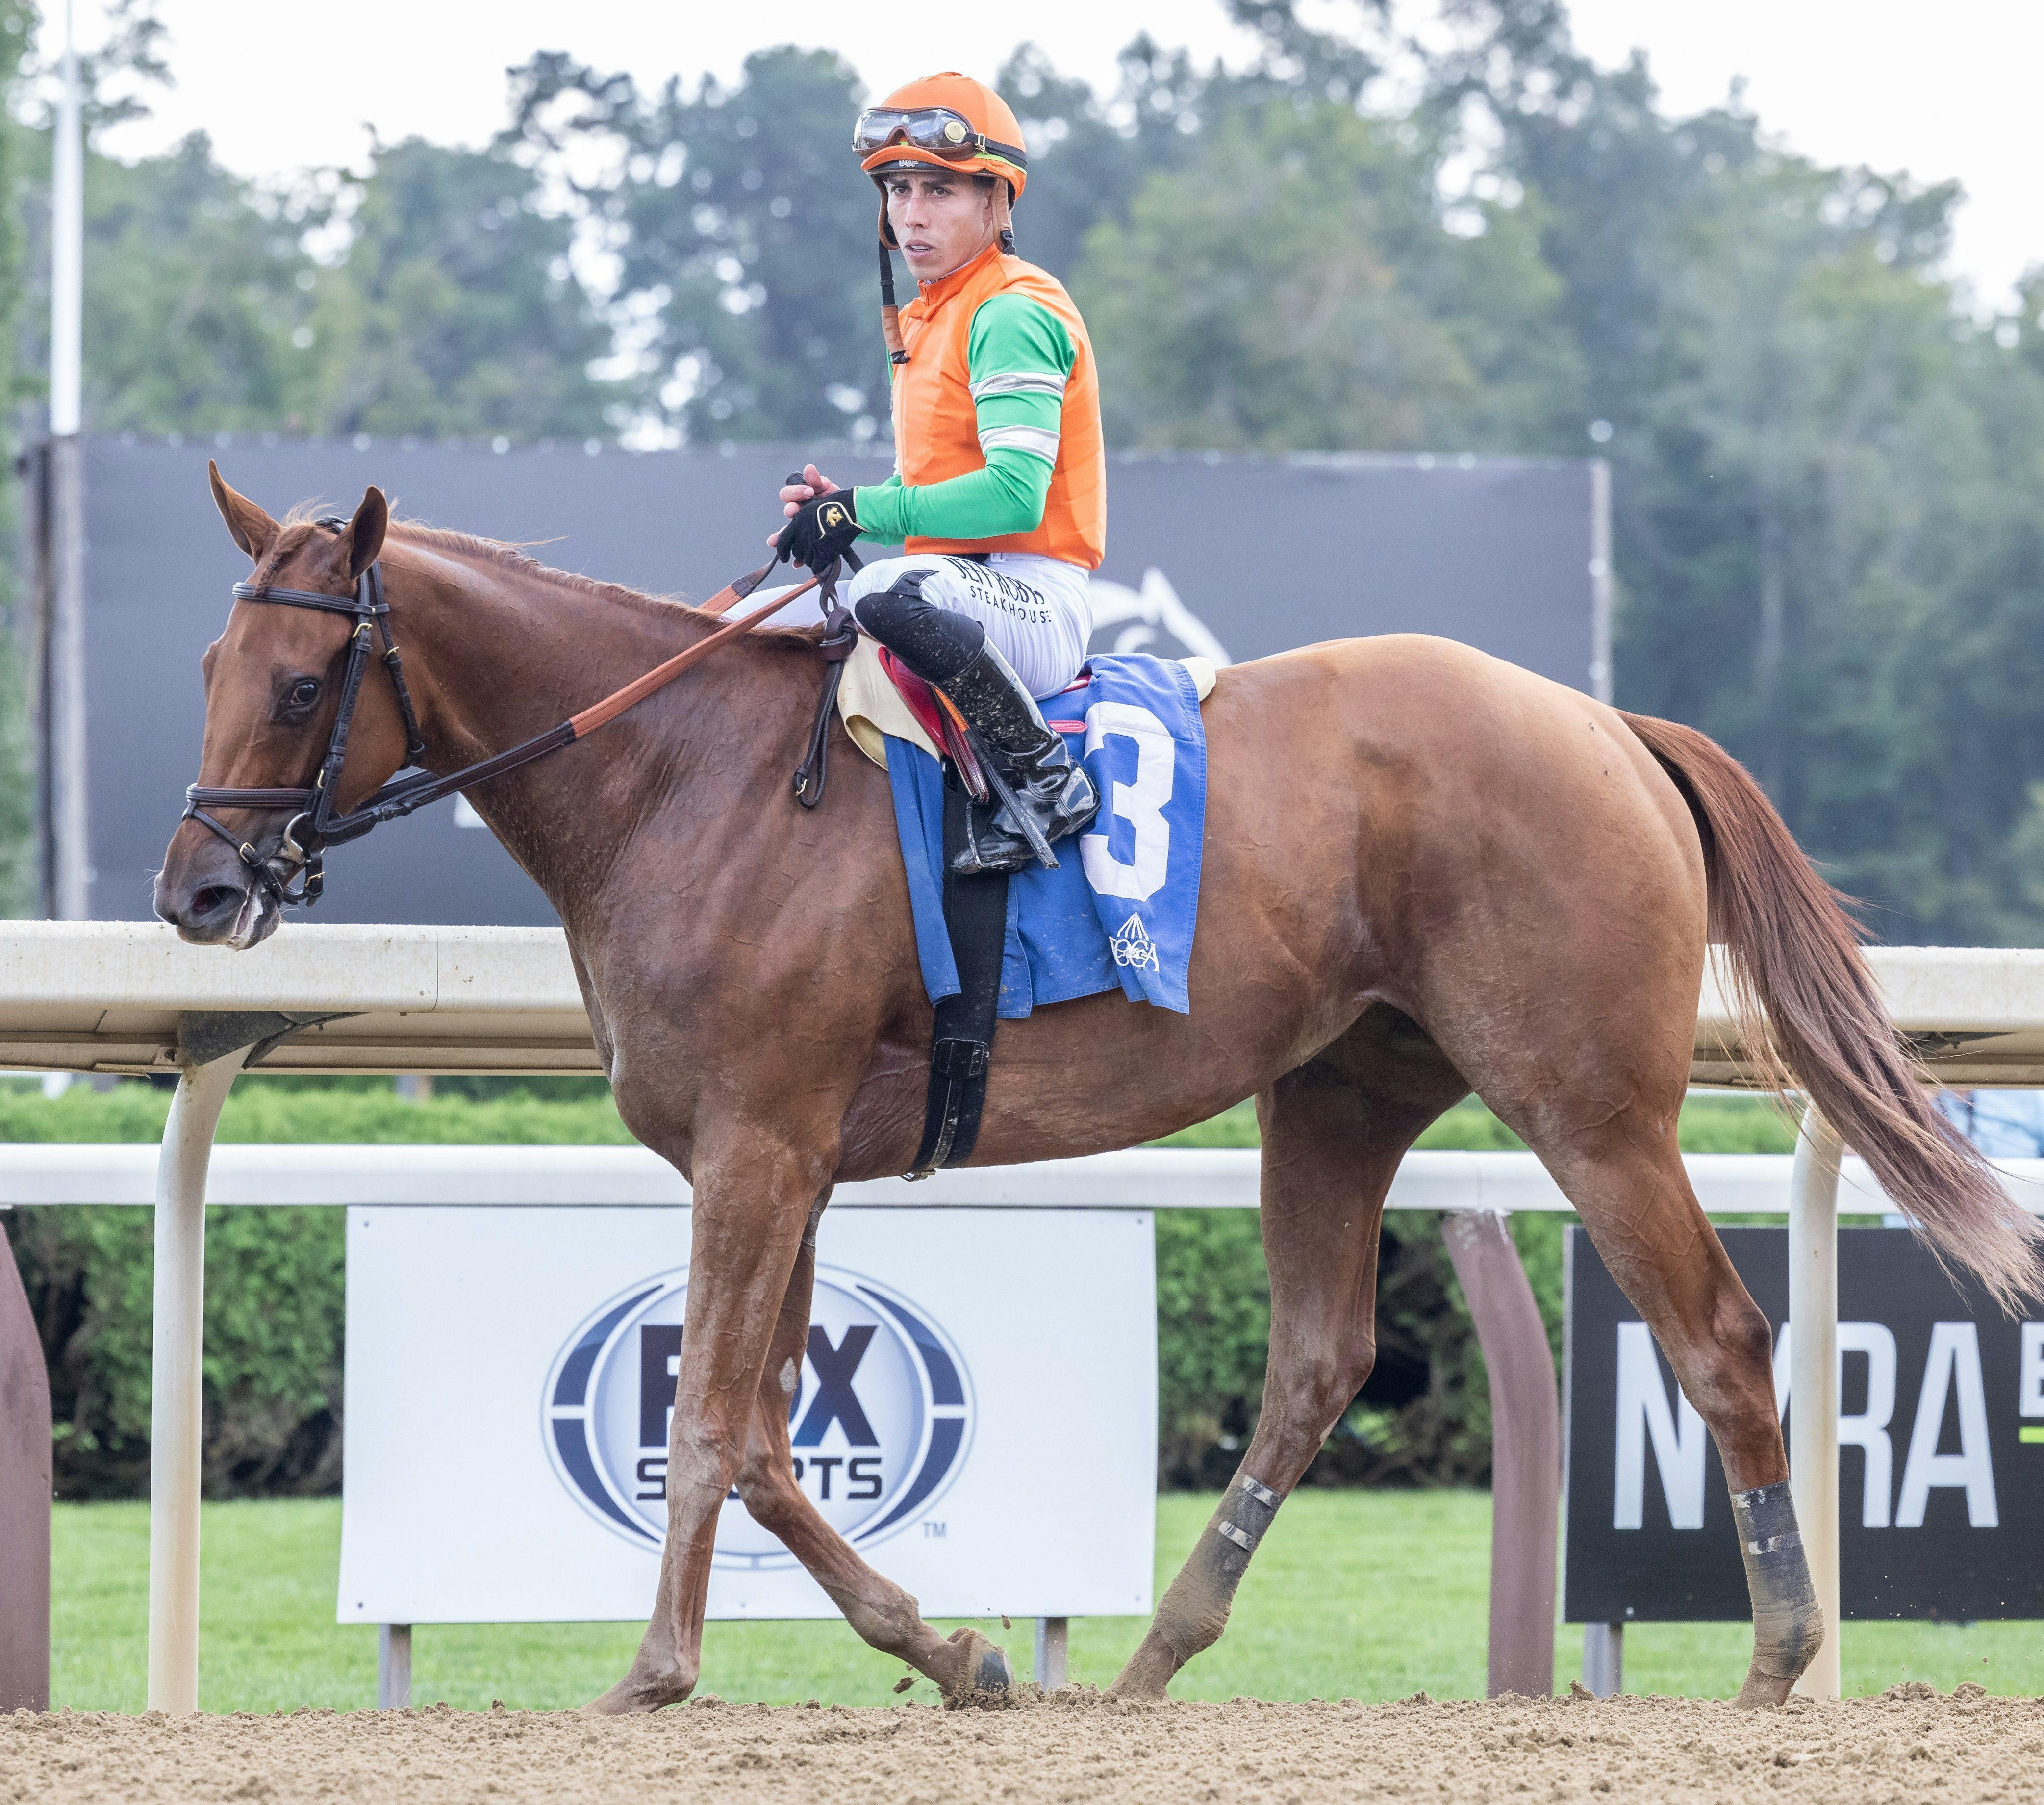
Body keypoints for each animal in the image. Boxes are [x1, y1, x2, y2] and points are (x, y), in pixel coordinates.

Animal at [163, 466, 2044, 1709]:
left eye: (306, 679)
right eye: (208, 670)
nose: (200, 893)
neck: (679, 780)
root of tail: (1608, 726)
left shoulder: (758, 1145)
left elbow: (705, 1421)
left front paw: (655, 1671)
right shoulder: (781, 1158)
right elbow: (764, 1431)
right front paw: (957, 1650)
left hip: (1583, 1102)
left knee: (1718, 1338)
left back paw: (1778, 1661)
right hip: (1340, 1091)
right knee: (1315, 1363)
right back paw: (1147, 1662)